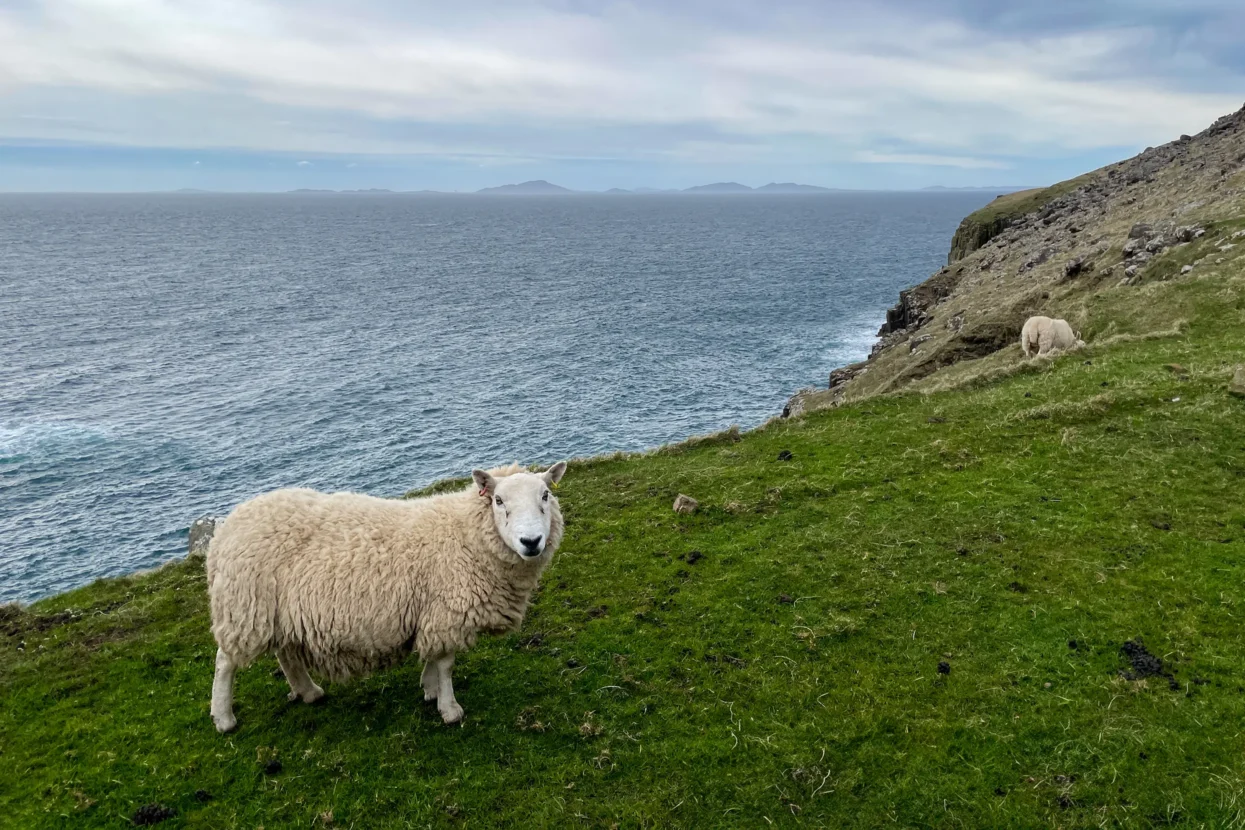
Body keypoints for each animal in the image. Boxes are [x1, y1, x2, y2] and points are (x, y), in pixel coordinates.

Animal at [207, 460, 570, 731]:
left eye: (545, 495)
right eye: (499, 501)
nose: (531, 542)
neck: (466, 536)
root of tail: (226, 528)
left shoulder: (430, 613)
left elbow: (433, 659)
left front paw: (429, 689)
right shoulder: (446, 613)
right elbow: (446, 664)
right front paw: (449, 708)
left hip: (277, 611)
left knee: (285, 653)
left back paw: (308, 692)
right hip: (243, 606)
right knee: (225, 662)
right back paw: (224, 718)